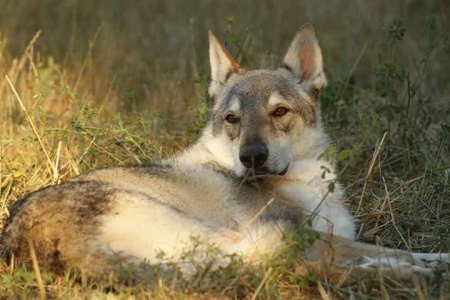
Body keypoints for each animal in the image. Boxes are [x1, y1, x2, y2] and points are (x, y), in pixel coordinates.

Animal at [1, 24, 448, 282]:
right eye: (232, 119)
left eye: (279, 112)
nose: (251, 156)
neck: (304, 182)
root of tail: (31, 244)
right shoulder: (308, 234)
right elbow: (387, 250)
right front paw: (434, 263)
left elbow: (393, 249)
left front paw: (432, 260)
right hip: (234, 236)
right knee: (309, 267)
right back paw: (413, 279)